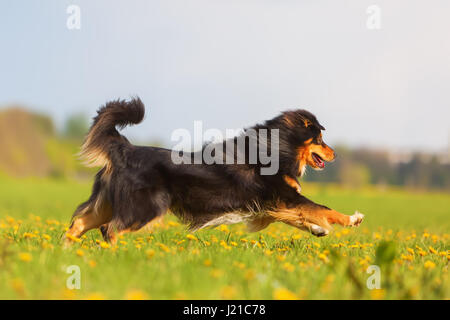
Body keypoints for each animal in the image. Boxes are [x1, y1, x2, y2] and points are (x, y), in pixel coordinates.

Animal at [66, 99, 362, 244]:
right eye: (320, 139)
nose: (336, 154)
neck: (276, 147)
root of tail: (125, 149)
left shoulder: (271, 205)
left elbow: (300, 217)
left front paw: (318, 230)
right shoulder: (284, 196)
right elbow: (322, 208)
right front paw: (352, 219)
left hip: (107, 203)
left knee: (79, 224)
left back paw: (68, 254)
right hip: (146, 207)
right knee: (109, 229)